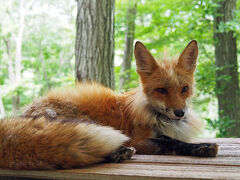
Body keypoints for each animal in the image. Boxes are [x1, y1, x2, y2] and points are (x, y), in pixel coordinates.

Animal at [0, 40, 218, 169]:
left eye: (184, 89)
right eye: (161, 90)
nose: (180, 112)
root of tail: (22, 115)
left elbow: (172, 139)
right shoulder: (137, 139)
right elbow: (170, 142)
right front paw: (202, 147)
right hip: (87, 124)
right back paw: (119, 153)